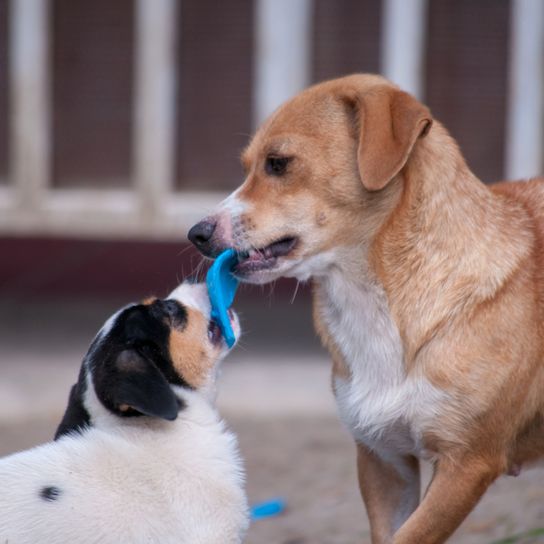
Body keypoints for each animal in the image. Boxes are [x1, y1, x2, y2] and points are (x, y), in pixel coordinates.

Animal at [188, 74, 544, 540]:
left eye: (278, 164)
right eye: (249, 165)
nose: (196, 234)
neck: (373, 300)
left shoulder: (466, 464)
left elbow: (413, 535)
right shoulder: (383, 458)